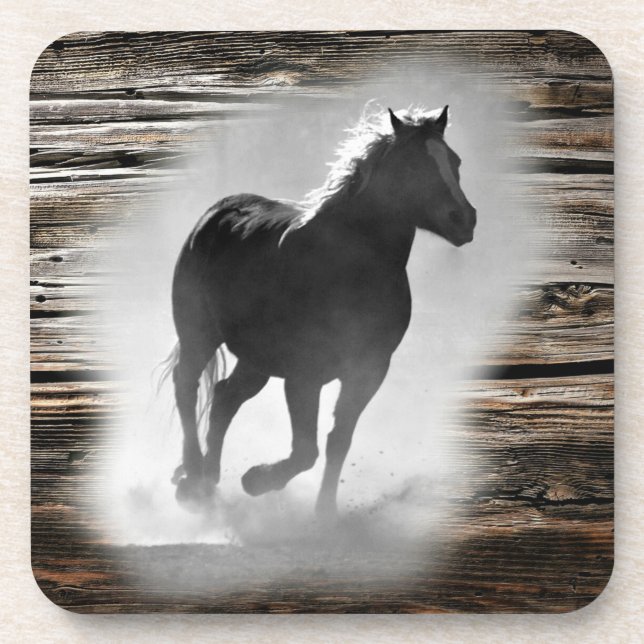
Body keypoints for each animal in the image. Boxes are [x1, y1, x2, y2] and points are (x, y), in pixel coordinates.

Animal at [164, 105, 477, 518]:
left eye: (454, 161)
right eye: (413, 165)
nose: (464, 219)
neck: (347, 269)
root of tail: (215, 214)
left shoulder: (368, 371)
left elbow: (337, 441)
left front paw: (324, 513)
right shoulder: (304, 375)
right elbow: (305, 451)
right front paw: (256, 480)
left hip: (257, 359)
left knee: (224, 397)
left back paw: (208, 479)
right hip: (199, 334)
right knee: (187, 387)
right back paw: (193, 478)